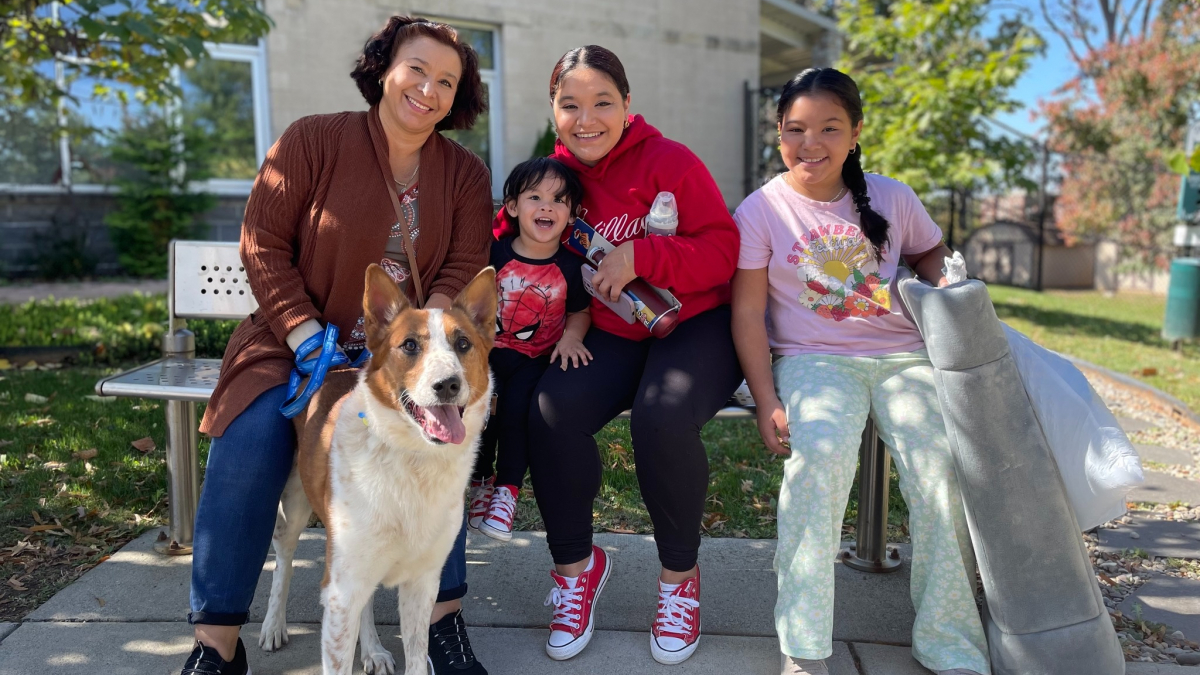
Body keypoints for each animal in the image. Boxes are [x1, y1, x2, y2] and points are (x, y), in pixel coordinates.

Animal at [258, 264, 496, 672]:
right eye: (410, 346)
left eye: (463, 344)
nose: (448, 384)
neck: (413, 460)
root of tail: (324, 368)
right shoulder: (341, 590)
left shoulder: (422, 583)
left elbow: (416, 655)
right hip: (296, 507)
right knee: (284, 561)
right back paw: (274, 625)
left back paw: (372, 650)